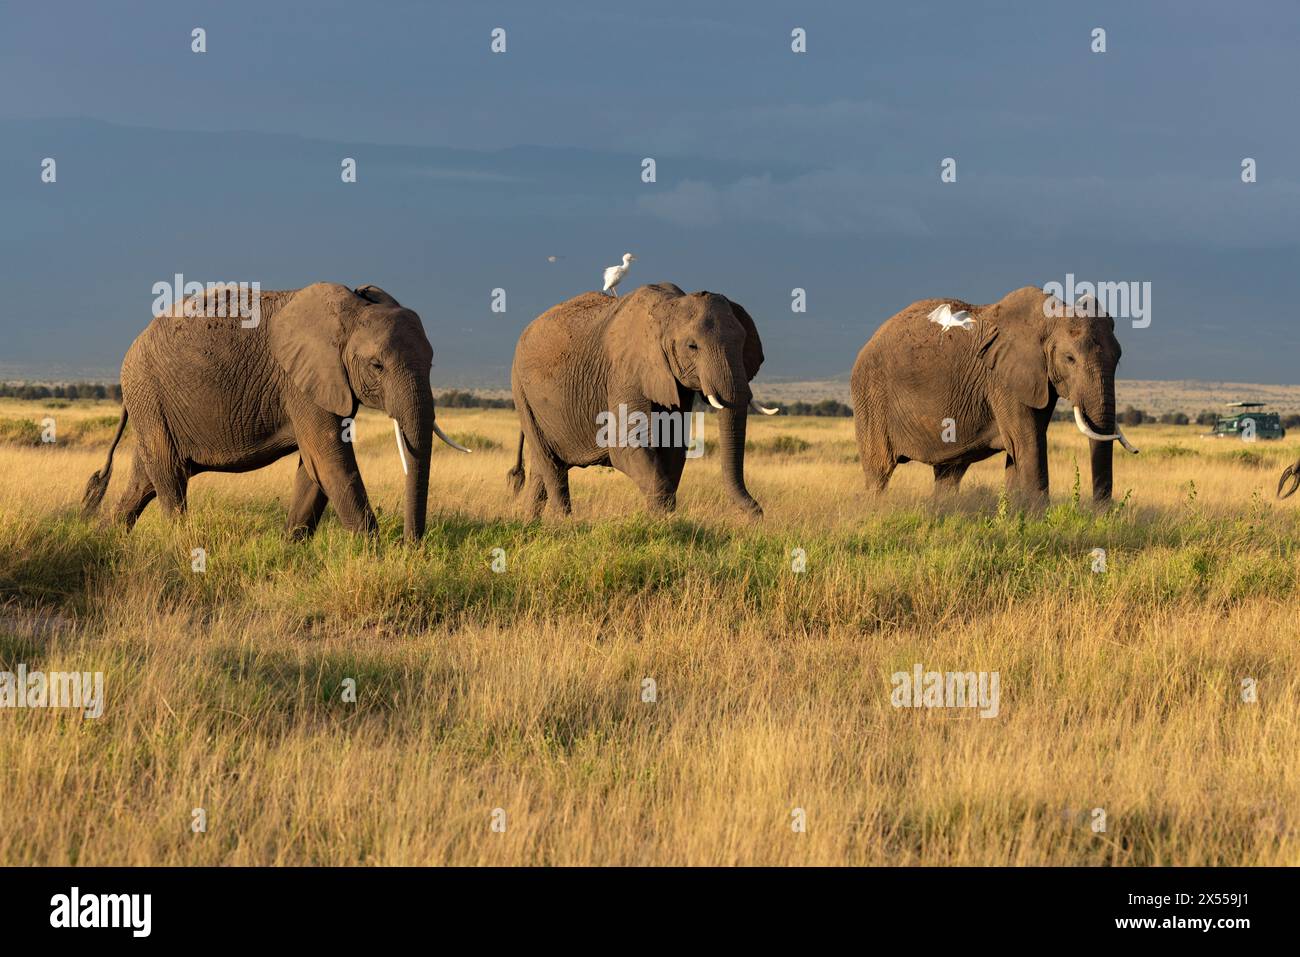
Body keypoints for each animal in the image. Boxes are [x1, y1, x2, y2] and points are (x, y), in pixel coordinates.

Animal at [82, 282, 467, 538]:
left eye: (432, 364)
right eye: (377, 366)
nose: (411, 545)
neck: (352, 310)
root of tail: (133, 347)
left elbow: (314, 468)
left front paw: (290, 549)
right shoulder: (300, 380)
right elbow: (329, 458)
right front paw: (375, 555)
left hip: (153, 404)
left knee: (144, 480)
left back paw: (104, 541)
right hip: (150, 394)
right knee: (170, 475)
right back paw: (182, 545)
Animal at [504, 283, 769, 520]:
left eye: (742, 343)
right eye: (692, 346)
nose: (757, 515)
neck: (669, 308)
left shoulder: (675, 382)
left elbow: (673, 448)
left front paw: (663, 522)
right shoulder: (625, 371)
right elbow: (627, 447)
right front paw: (664, 525)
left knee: (541, 470)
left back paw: (531, 523)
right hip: (521, 392)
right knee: (552, 467)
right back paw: (565, 525)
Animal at [847, 283, 1133, 504]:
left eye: (1118, 357)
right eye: (1069, 359)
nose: (1100, 514)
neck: (1047, 318)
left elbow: (1020, 450)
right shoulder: (1002, 380)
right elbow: (1028, 443)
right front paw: (1040, 522)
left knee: (949, 474)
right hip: (870, 397)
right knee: (879, 472)